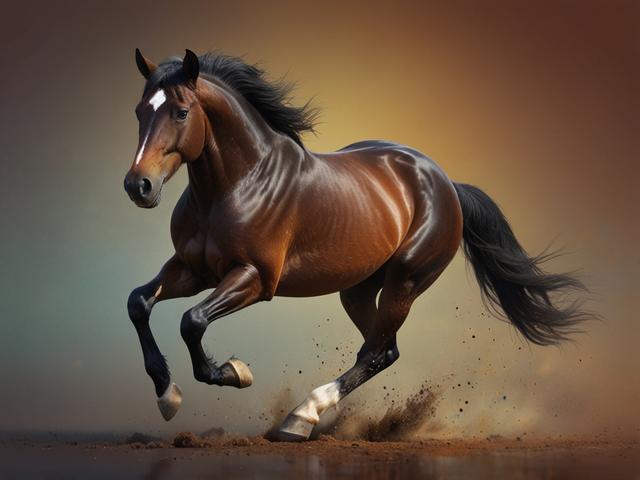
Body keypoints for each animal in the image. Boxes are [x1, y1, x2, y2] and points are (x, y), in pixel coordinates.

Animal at [124, 49, 590, 441]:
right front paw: (167, 396)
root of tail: (445, 183)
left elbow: (192, 321)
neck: (238, 184)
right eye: (139, 112)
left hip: (406, 281)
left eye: (182, 112)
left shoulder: (255, 278)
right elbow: (139, 303)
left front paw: (235, 372)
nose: (138, 186)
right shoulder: (193, 269)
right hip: (359, 288)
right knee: (383, 349)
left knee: (376, 351)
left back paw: (301, 417)